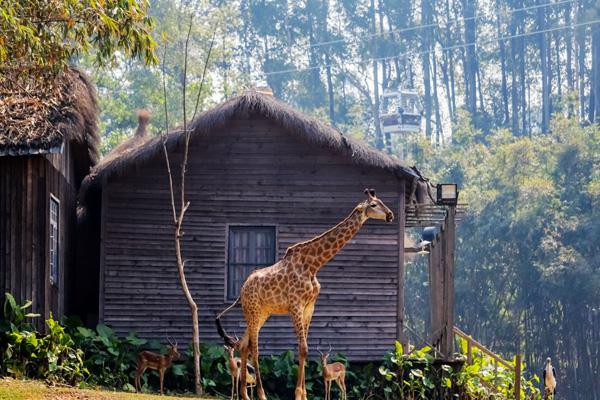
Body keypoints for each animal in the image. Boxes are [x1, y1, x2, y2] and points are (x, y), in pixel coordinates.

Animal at [216, 189, 394, 400]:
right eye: (374, 205)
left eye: (381, 201)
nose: (390, 215)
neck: (313, 265)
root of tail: (242, 290)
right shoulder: (295, 305)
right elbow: (303, 348)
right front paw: (299, 393)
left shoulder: (309, 307)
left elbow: (304, 350)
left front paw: (303, 394)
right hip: (253, 311)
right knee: (255, 349)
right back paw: (261, 394)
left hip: (262, 313)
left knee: (244, 345)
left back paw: (245, 394)